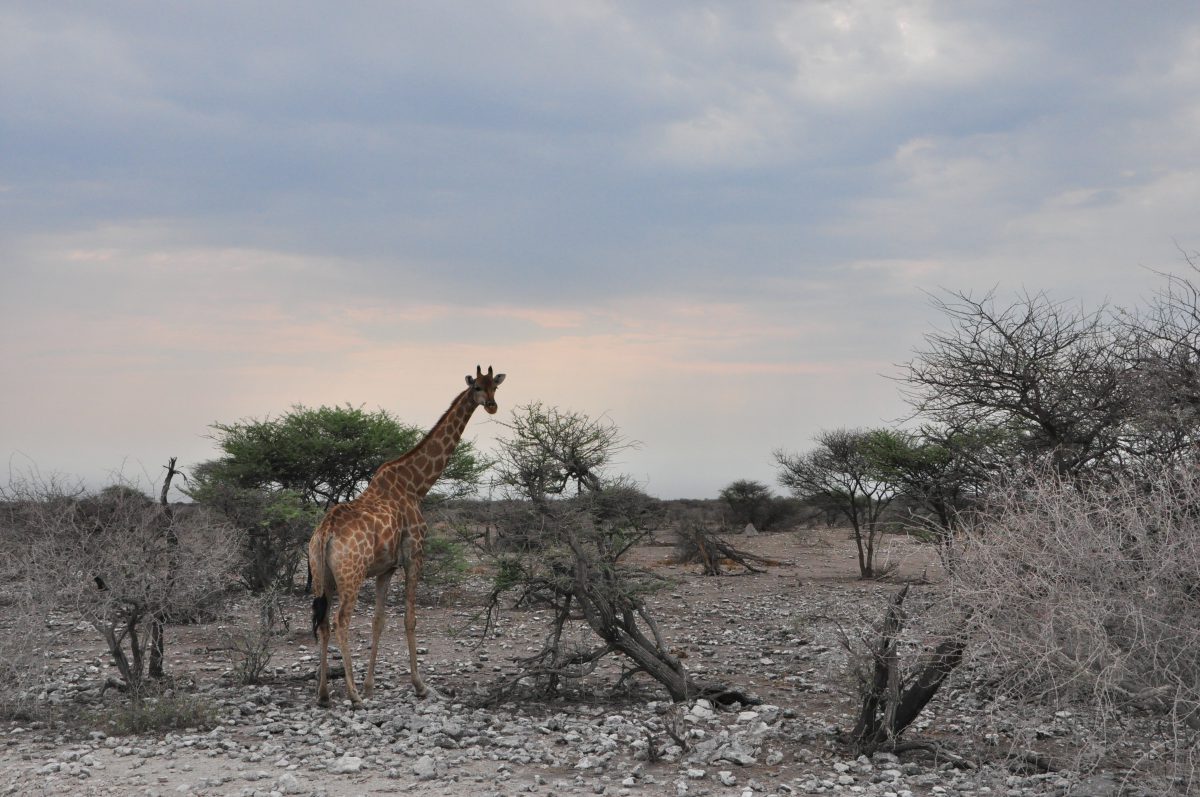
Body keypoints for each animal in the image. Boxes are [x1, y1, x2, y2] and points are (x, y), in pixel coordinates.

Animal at [307, 364, 504, 705]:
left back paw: (324, 694)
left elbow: (379, 621)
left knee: (324, 624)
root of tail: (326, 532)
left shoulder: (385, 568)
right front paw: (420, 685)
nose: (491, 405)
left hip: (323, 577)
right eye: (477, 387)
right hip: (351, 575)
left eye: (496, 386)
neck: (416, 484)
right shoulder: (415, 555)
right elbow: (409, 619)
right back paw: (352, 694)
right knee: (341, 621)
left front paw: (371, 686)